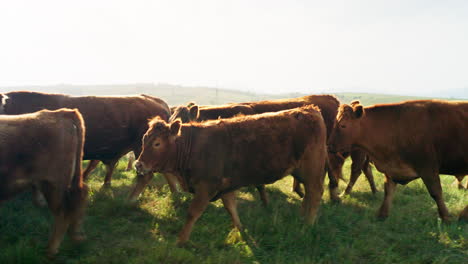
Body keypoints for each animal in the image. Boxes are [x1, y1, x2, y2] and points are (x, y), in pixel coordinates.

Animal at [0, 108, 88, 256]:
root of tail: (61, 113)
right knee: (79, 198)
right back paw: (76, 237)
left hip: (52, 185)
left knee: (63, 213)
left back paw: (51, 251)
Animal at [132, 105, 330, 243]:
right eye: (144, 139)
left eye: (157, 143)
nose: (138, 164)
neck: (193, 145)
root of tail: (310, 110)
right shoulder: (226, 187)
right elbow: (231, 208)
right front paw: (241, 230)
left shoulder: (206, 187)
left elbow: (193, 213)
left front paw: (181, 240)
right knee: (308, 196)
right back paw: (302, 218)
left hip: (312, 170)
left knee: (315, 194)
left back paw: (307, 226)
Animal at [328, 100, 468, 222]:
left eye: (343, 125)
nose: (329, 146)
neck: (396, 126)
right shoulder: (391, 169)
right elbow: (388, 191)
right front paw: (382, 214)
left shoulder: (428, 168)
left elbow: (436, 192)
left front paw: (446, 217)